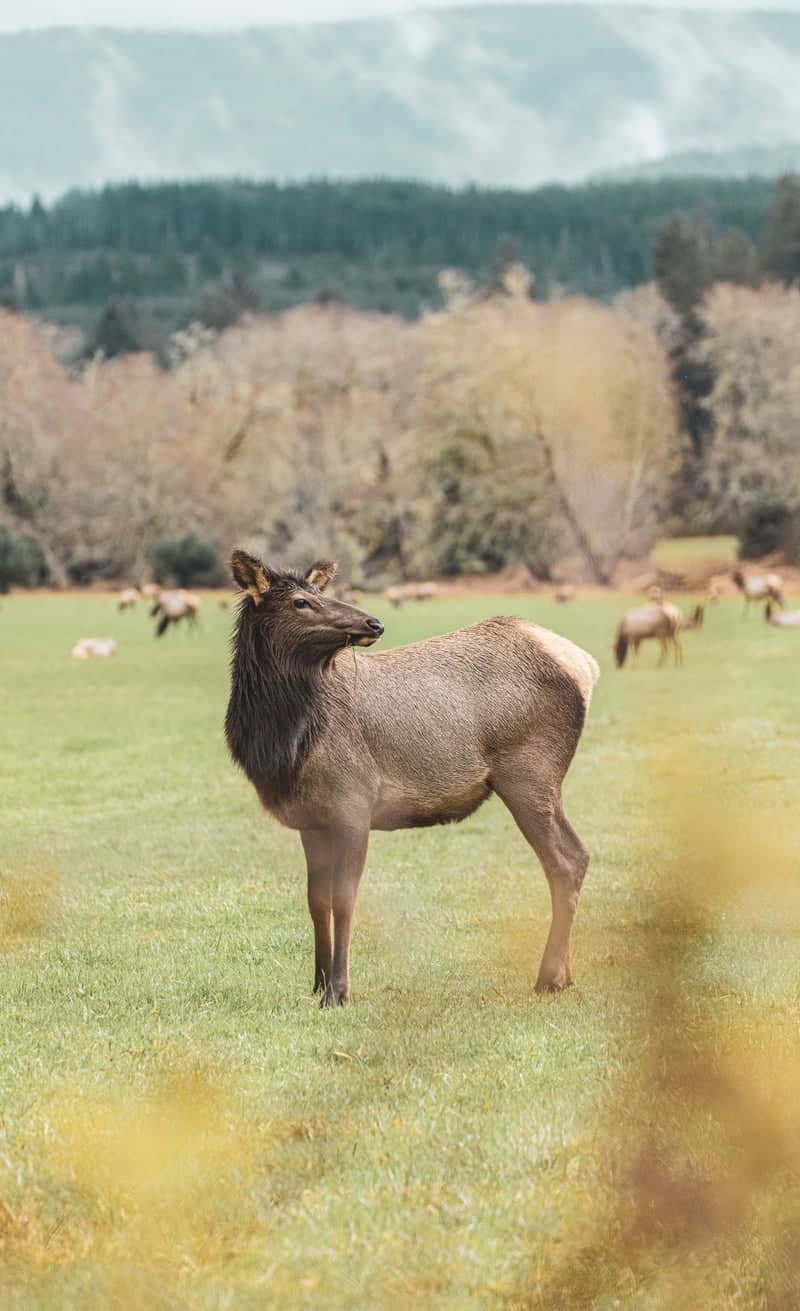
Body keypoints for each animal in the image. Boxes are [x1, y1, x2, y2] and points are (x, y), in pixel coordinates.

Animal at [225, 551, 600, 1007]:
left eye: (320, 592)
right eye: (300, 601)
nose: (373, 623)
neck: (285, 744)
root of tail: (585, 664)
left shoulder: (353, 803)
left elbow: (344, 901)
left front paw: (339, 991)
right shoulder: (310, 820)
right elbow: (315, 902)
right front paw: (316, 986)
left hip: (530, 773)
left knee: (566, 861)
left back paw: (547, 977)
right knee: (576, 857)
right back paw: (564, 975)